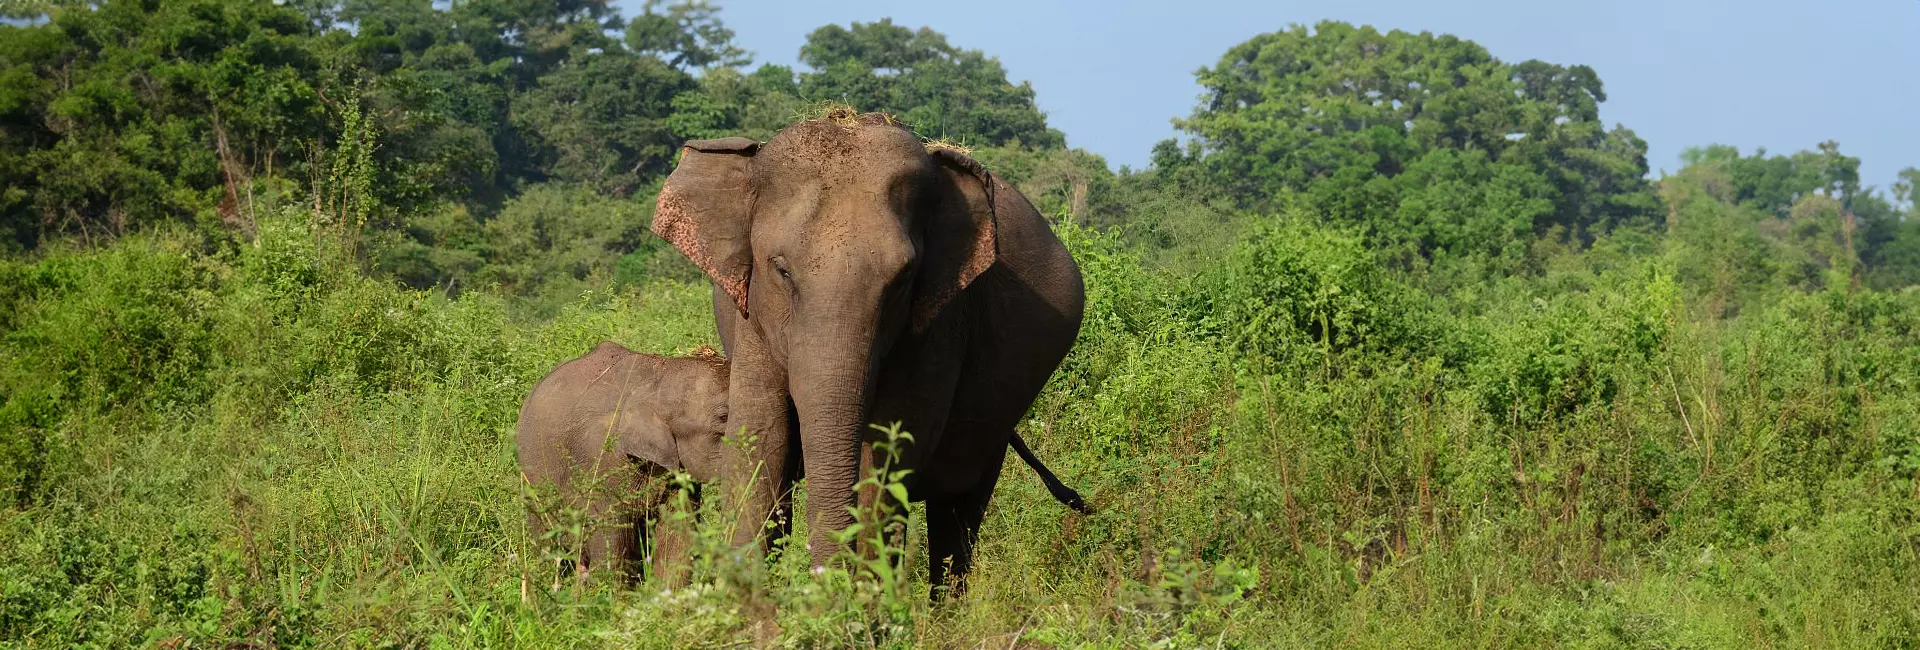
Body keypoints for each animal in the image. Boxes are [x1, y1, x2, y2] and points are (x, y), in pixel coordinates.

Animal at [650, 108, 1087, 598]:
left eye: (903, 277)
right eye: (780, 269)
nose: (827, 582)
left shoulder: (937, 321)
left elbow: (888, 447)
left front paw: (863, 607)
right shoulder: (752, 321)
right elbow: (760, 439)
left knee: (958, 511)